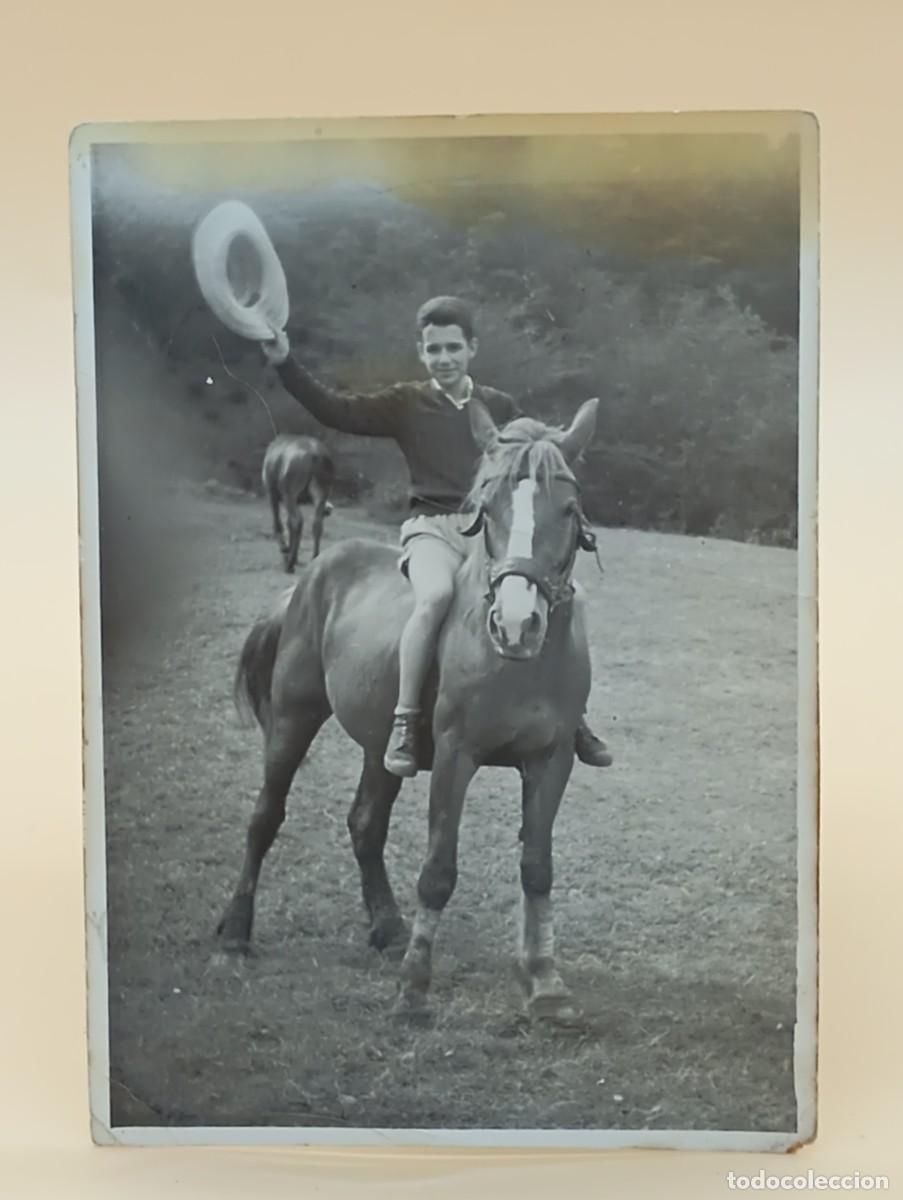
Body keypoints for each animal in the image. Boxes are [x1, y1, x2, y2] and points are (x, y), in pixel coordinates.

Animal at [261, 433, 335, 572]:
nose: (329, 509)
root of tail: (315, 455)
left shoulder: (272, 493)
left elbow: (278, 525)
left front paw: (286, 550)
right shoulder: (297, 501)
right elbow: (289, 524)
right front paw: (293, 555)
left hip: (289, 493)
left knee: (298, 520)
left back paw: (289, 563)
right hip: (320, 493)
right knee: (316, 523)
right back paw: (313, 557)